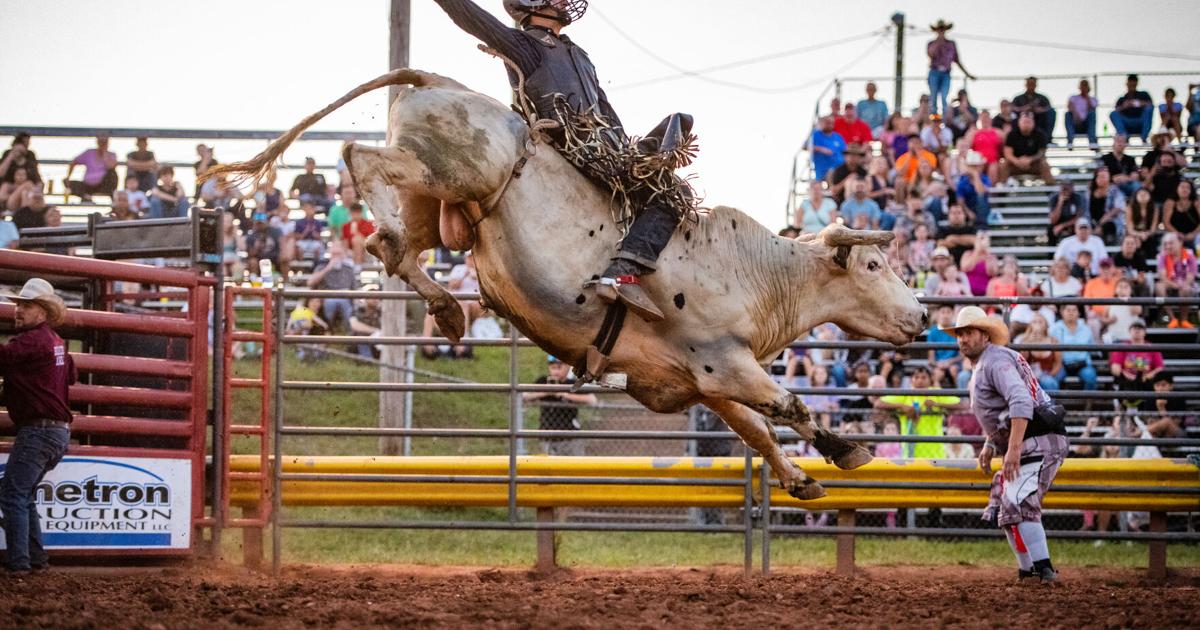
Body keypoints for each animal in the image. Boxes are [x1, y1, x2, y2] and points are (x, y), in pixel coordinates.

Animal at [203, 69, 928, 500]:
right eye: (873, 267)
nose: (922, 319)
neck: (757, 271)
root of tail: (437, 79)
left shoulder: (705, 382)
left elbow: (754, 428)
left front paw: (802, 476)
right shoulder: (727, 361)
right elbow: (789, 406)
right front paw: (845, 449)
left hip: (441, 205)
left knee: (399, 243)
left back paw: (444, 307)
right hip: (453, 173)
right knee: (361, 159)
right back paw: (399, 250)